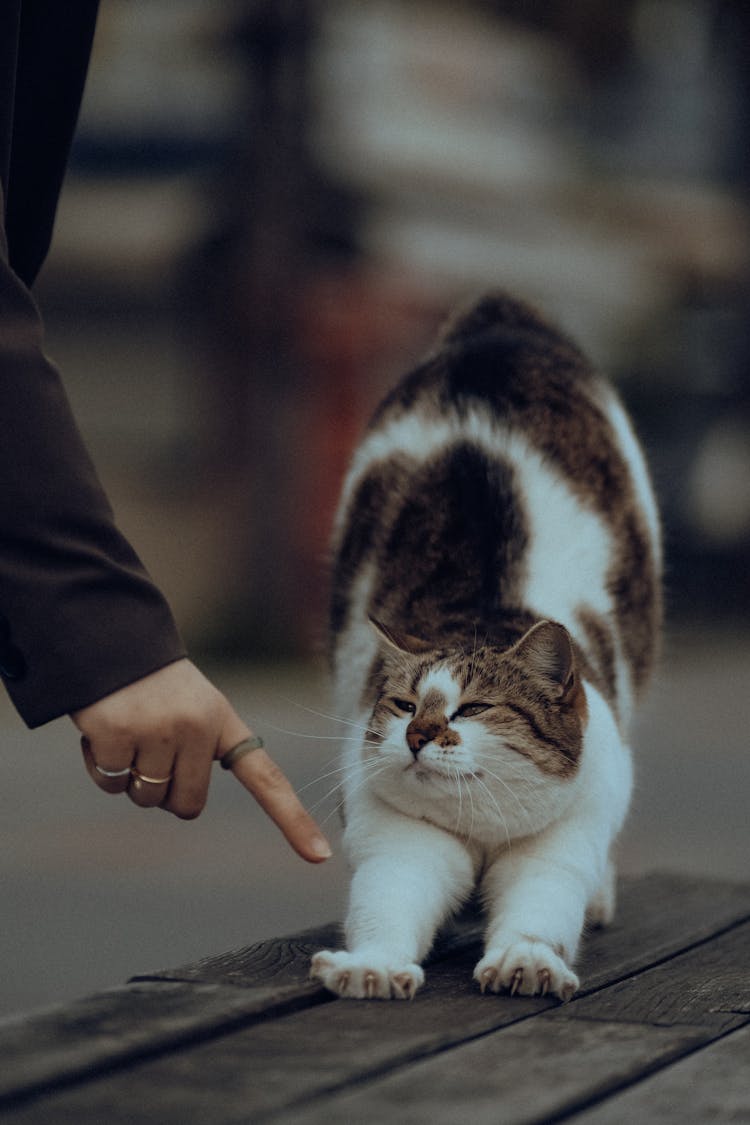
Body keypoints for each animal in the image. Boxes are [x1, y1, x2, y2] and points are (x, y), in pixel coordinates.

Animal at [310, 292, 661, 1003]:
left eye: (472, 709)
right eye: (402, 704)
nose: (418, 735)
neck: (482, 827)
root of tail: (499, 317)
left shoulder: (556, 848)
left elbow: (540, 909)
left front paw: (526, 959)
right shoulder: (402, 845)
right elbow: (387, 906)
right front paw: (371, 968)